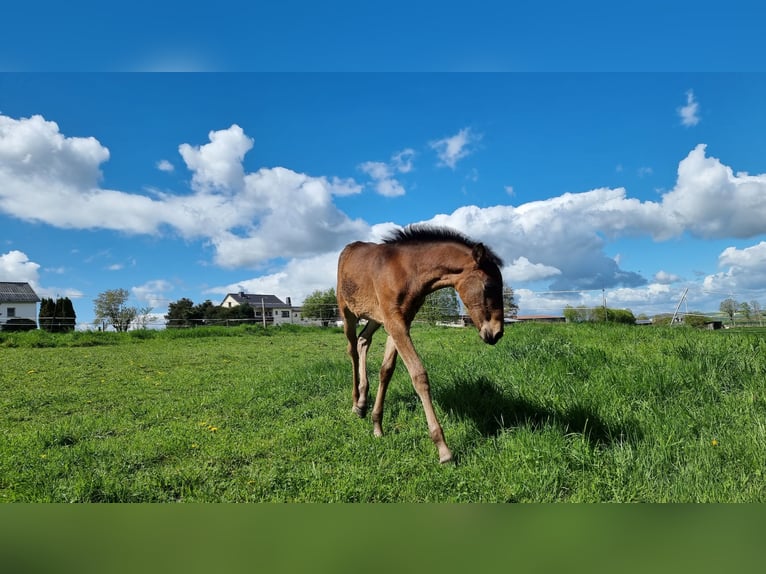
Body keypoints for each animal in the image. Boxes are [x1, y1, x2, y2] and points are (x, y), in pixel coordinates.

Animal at [336, 224, 505, 463]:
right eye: (489, 285)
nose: (497, 333)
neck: (406, 271)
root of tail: (349, 249)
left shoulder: (400, 321)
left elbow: (386, 370)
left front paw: (377, 424)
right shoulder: (395, 322)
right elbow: (419, 375)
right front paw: (443, 448)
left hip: (376, 317)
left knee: (363, 340)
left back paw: (362, 403)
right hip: (347, 311)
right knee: (352, 350)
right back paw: (354, 403)